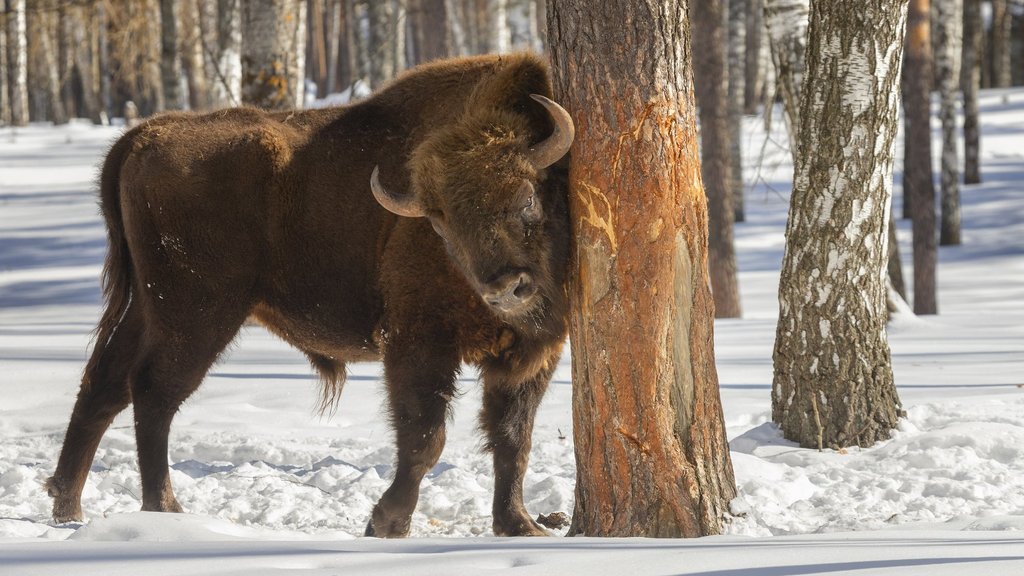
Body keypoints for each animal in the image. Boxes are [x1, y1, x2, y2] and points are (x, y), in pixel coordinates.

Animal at [46, 51, 577, 537]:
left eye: (527, 198)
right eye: (440, 223)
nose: (506, 288)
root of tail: (145, 135)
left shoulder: (534, 354)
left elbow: (513, 438)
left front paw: (520, 525)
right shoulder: (417, 342)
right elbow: (426, 436)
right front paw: (386, 524)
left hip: (149, 305)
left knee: (105, 384)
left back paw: (67, 506)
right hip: (196, 313)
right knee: (153, 390)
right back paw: (164, 509)